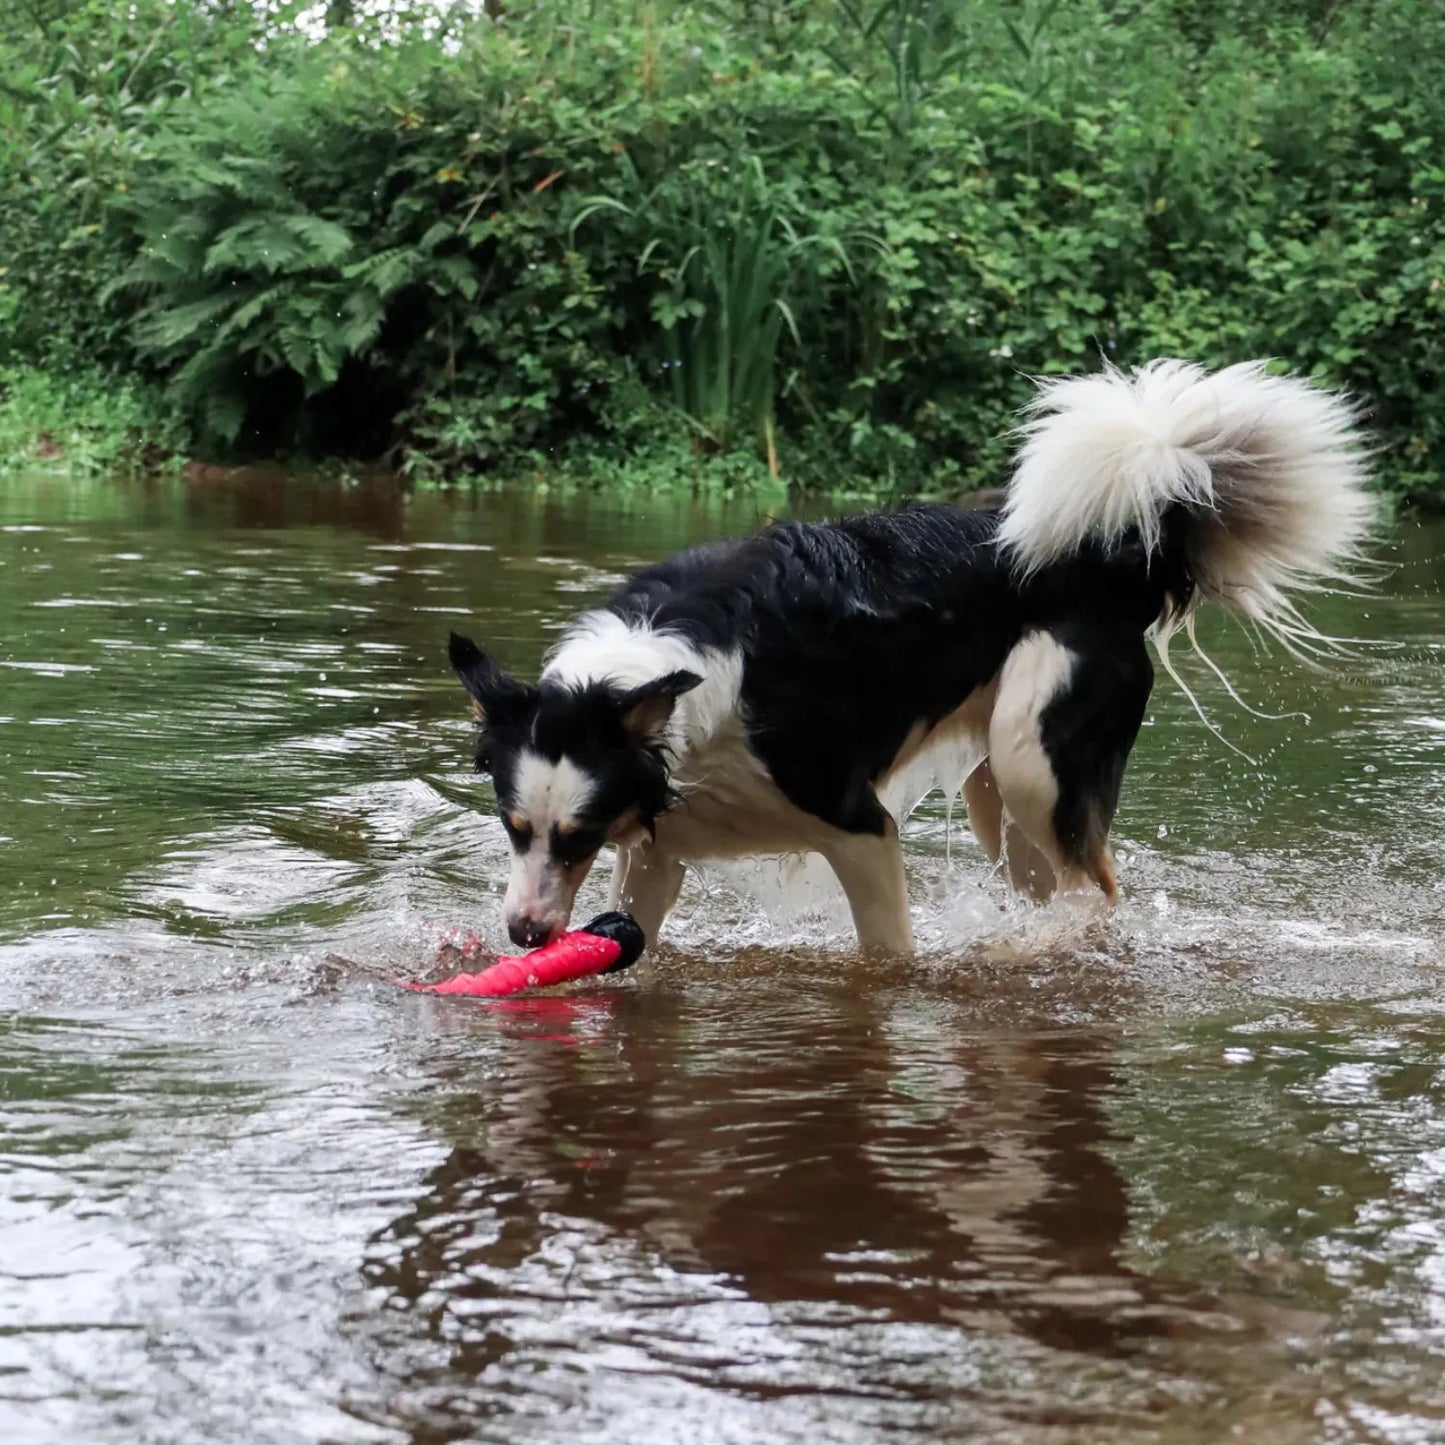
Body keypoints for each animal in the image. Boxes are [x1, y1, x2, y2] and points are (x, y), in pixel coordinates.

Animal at [445, 355, 1369, 953]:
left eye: (576, 835)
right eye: (512, 827)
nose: (522, 934)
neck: (666, 686)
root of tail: (1112, 564)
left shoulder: (860, 827)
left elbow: (886, 960)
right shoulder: (655, 850)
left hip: (1035, 760)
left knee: (1095, 896)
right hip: (1000, 798)